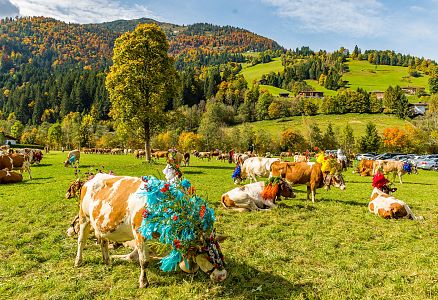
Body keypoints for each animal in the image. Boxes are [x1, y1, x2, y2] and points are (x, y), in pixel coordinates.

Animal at [73, 173, 228, 288]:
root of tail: (91, 179)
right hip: (83, 217)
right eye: (205, 253)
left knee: (103, 241)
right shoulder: (139, 233)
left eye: (219, 251)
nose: (222, 276)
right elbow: (144, 260)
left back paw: (107, 260)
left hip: (101, 224)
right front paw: (143, 282)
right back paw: (78, 261)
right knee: (81, 240)